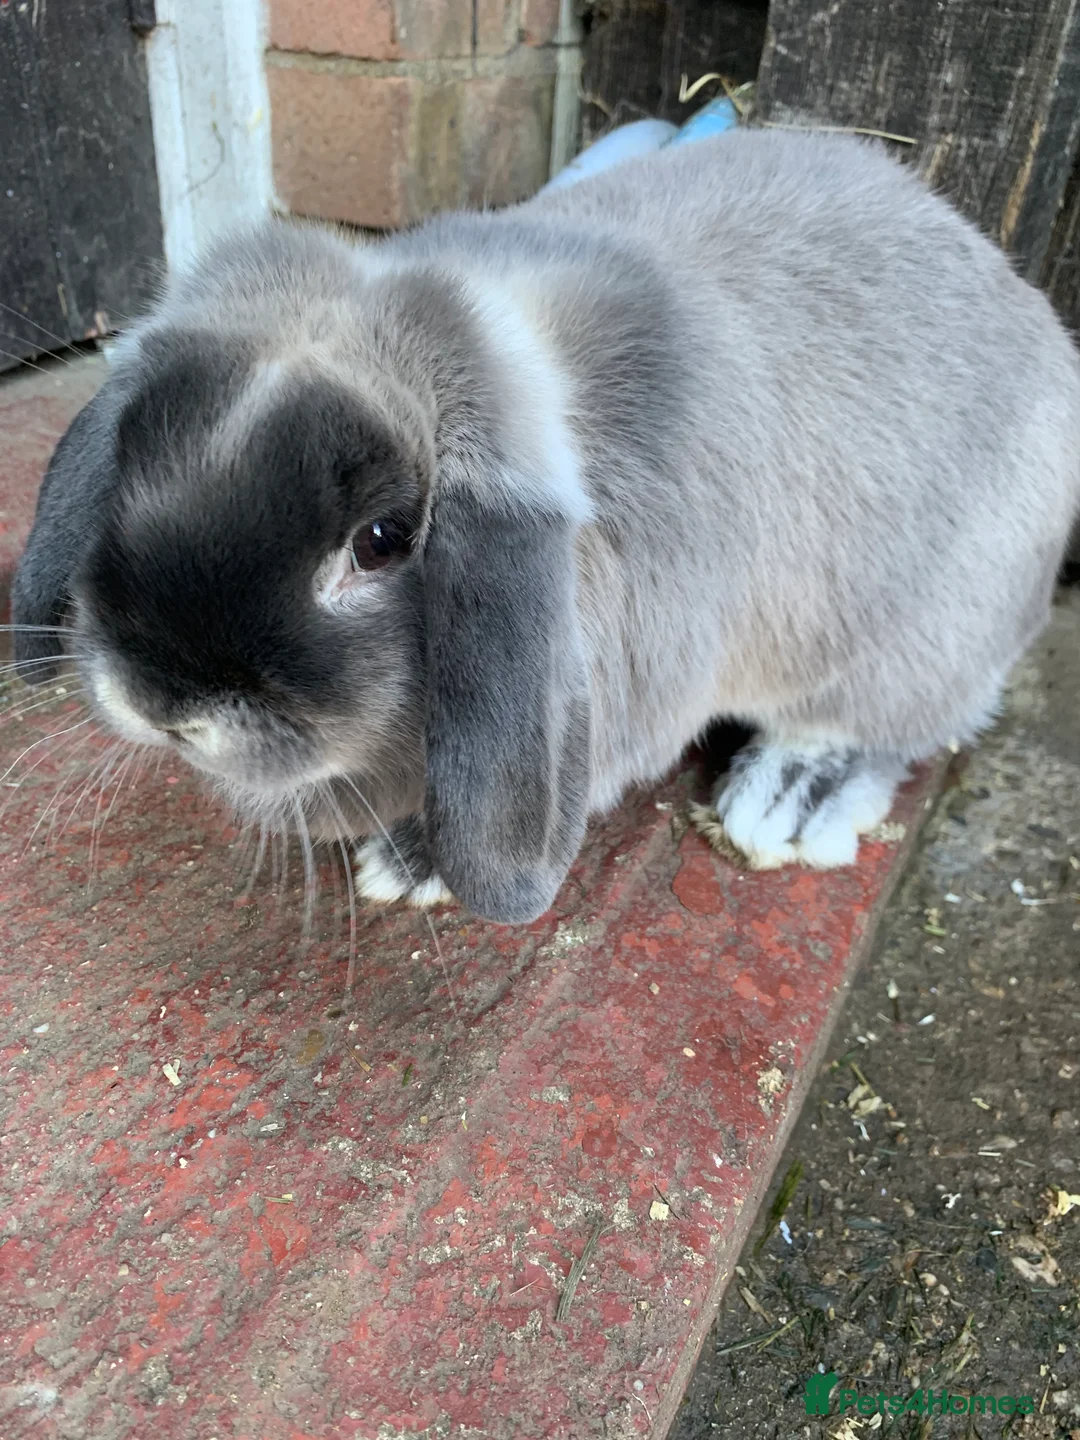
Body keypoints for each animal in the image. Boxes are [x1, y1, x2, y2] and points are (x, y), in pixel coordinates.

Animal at [12, 130, 1080, 925]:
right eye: (134, 460)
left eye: (381, 540)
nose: (161, 701)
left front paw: (411, 865)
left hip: (918, 645)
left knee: (895, 728)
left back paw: (787, 800)